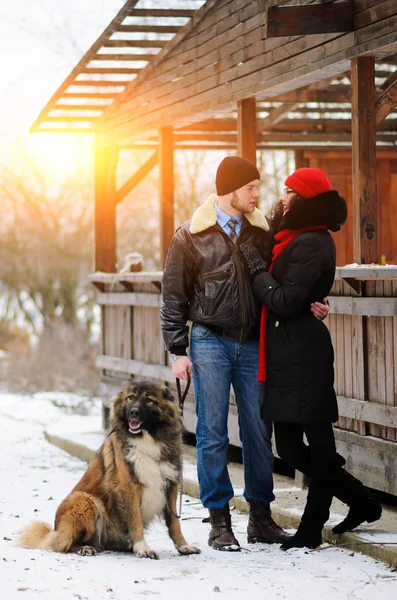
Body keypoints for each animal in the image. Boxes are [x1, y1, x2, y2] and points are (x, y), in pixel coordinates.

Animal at [16, 380, 200, 556]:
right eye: (130, 398)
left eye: (148, 400)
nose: (133, 412)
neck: (147, 440)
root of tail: (55, 529)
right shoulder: (128, 488)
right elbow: (136, 520)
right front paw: (143, 548)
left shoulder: (170, 486)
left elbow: (175, 523)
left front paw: (184, 546)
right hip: (84, 499)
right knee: (64, 544)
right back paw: (85, 548)